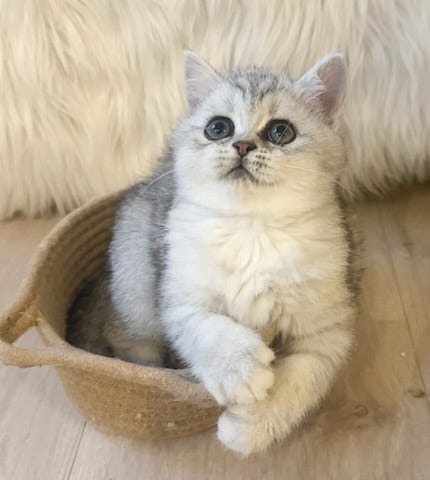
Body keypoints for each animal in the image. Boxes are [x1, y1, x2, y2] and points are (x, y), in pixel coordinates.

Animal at [67, 52, 359, 455]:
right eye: (218, 128)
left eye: (280, 132)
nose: (242, 146)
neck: (253, 228)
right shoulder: (180, 300)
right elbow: (211, 328)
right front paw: (239, 369)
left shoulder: (328, 331)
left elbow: (303, 378)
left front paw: (249, 426)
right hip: (136, 280)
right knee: (129, 341)